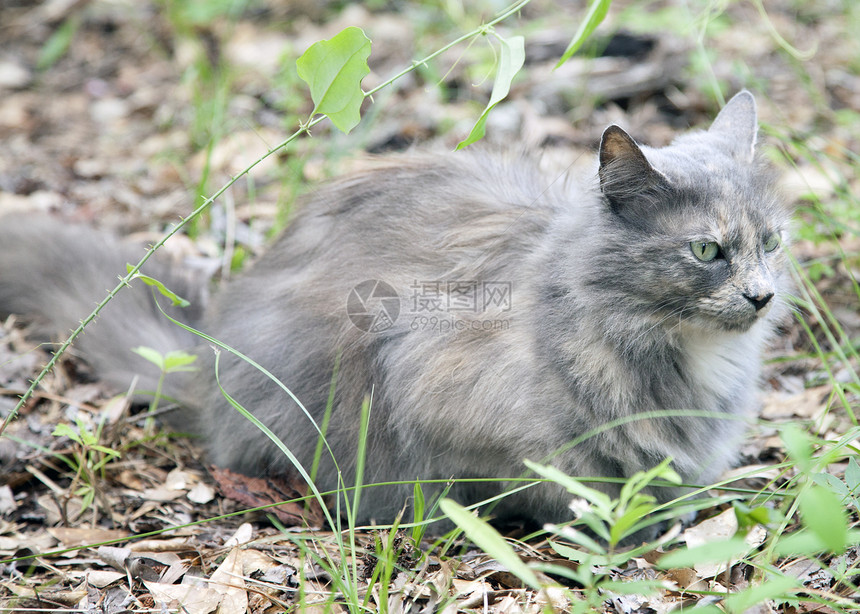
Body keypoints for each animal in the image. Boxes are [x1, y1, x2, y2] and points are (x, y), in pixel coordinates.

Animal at [0, 91, 788, 528]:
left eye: (772, 242)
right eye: (707, 251)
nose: (762, 294)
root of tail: (211, 357)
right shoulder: (440, 388)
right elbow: (552, 488)